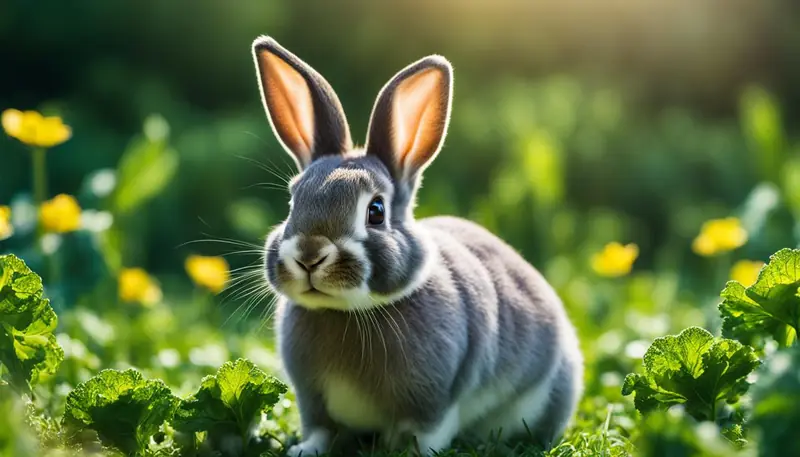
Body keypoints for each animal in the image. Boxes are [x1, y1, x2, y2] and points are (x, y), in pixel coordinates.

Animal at [252, 35, 584, 457]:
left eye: (376, 211)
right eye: (293, 201)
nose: (309, 256)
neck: (348, 311)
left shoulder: (434, 401)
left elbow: (426, 434)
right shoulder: (313, 401)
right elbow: (320, 430)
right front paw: (303, 450)